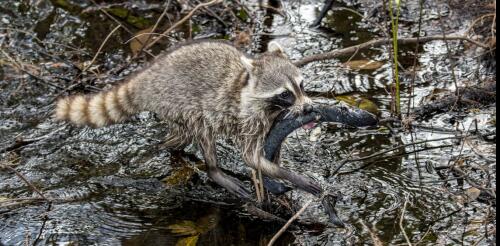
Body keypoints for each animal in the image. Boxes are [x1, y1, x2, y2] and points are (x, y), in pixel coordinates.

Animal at [55, 39, 320, 199]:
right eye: (285, 93)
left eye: (301, 85)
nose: (308, 108)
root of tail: (146, 78)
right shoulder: (248, 117)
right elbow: (250, 157)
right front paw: (292, 176)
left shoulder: (272, 119)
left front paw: (277, 166)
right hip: (178, 102)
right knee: (200, 129)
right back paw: (213, 170)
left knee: (181, 137)